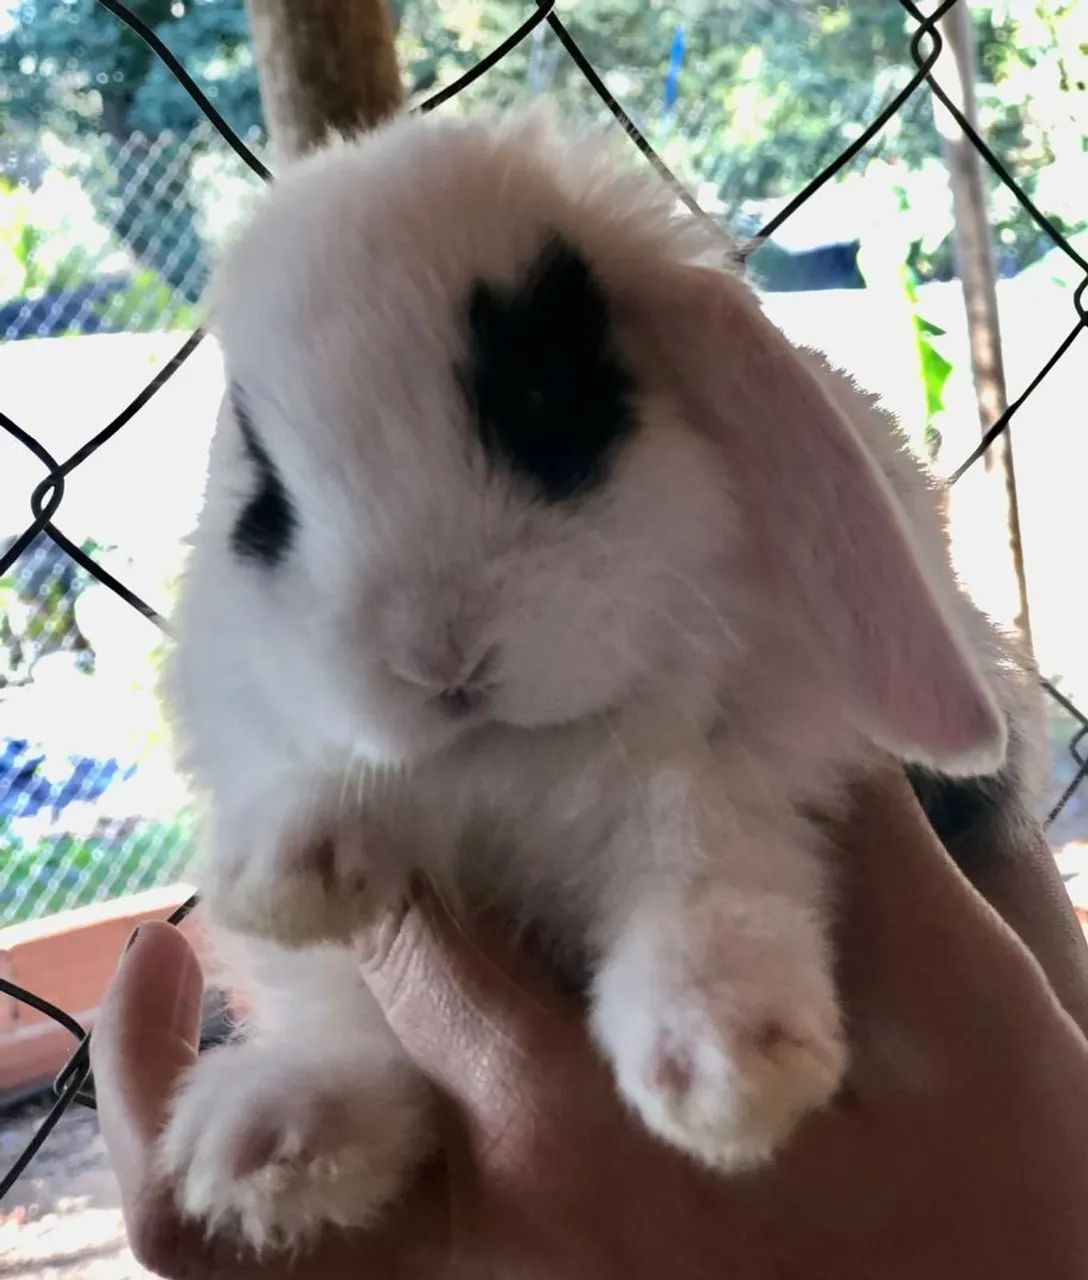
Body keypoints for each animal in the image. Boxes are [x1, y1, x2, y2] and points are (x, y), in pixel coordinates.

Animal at [158, 108, 1044, 1251]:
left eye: (547, 402)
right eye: (264, 502)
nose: (436, 659)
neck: (527, 753)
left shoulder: (752, 772)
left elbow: (706, 861)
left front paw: (723, 1062)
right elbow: (331, 798)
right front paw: (288, 870)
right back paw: (273, 1134)